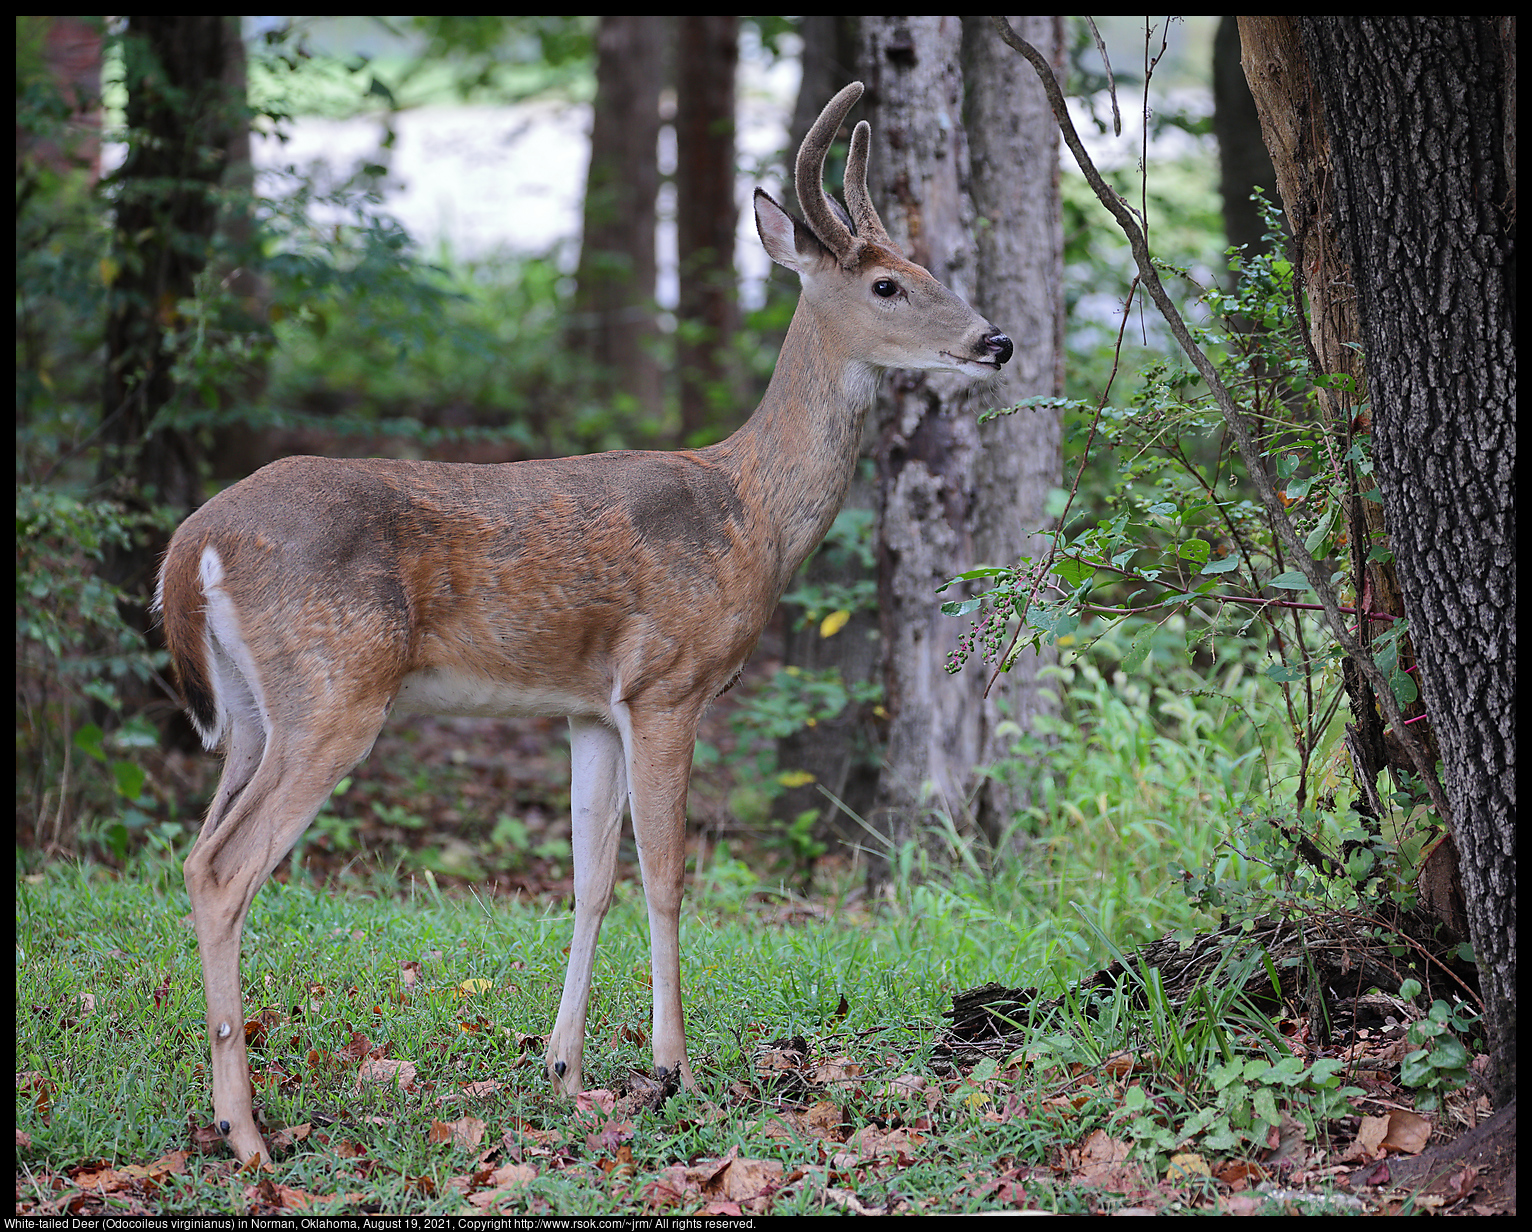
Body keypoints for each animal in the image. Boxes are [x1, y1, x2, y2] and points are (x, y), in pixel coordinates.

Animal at [161, 81, 1011, 1158]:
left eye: (932, 268)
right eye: (889, 286)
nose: (994, 341)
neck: (753, 512)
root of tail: (193, 540)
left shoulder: (586, 707)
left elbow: (590, 876)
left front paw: (567, 1072)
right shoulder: (666, 686)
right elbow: (667, 876)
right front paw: (673, 1069)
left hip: (248, 711)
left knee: (197, 851)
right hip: (332, 691)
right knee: (224, 869)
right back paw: (247, 1132)